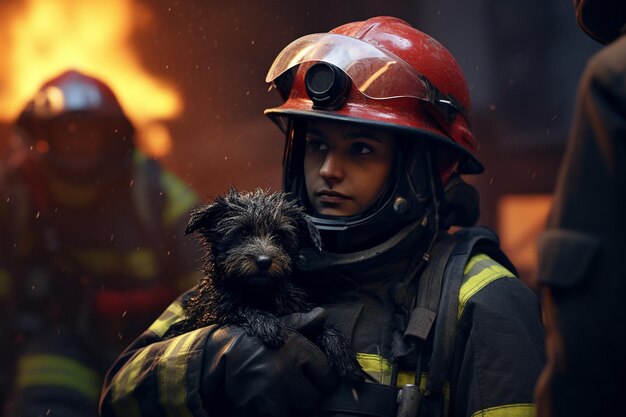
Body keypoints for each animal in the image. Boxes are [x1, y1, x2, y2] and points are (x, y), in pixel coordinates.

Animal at [173, 188, 364, 380]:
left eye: (279, 235)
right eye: (243, 232)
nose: (264, 261)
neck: (259, 292)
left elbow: (323, 327)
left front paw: (340, 351)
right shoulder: (208, 313)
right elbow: (237, 308)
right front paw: (264, 321)